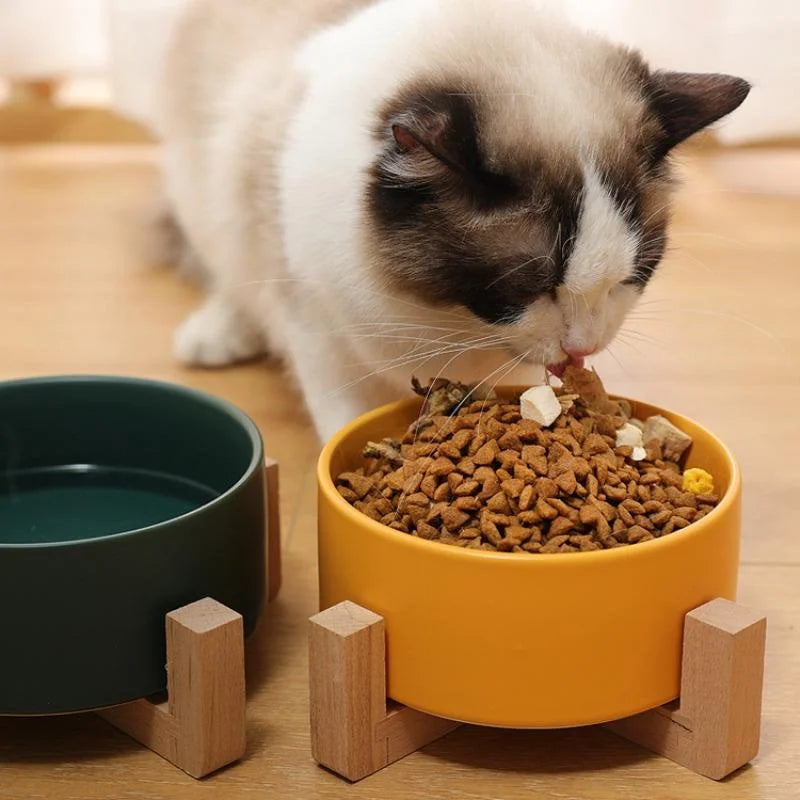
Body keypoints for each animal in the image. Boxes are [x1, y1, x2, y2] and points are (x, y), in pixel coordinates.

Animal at [161, 0, 752, 440]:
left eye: (632, 278)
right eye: (524, 288)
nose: (582, 348)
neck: (448, 325)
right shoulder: (318, 329)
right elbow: (344, 419)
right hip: (205, 187)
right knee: (226, 263)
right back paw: (215, 336)